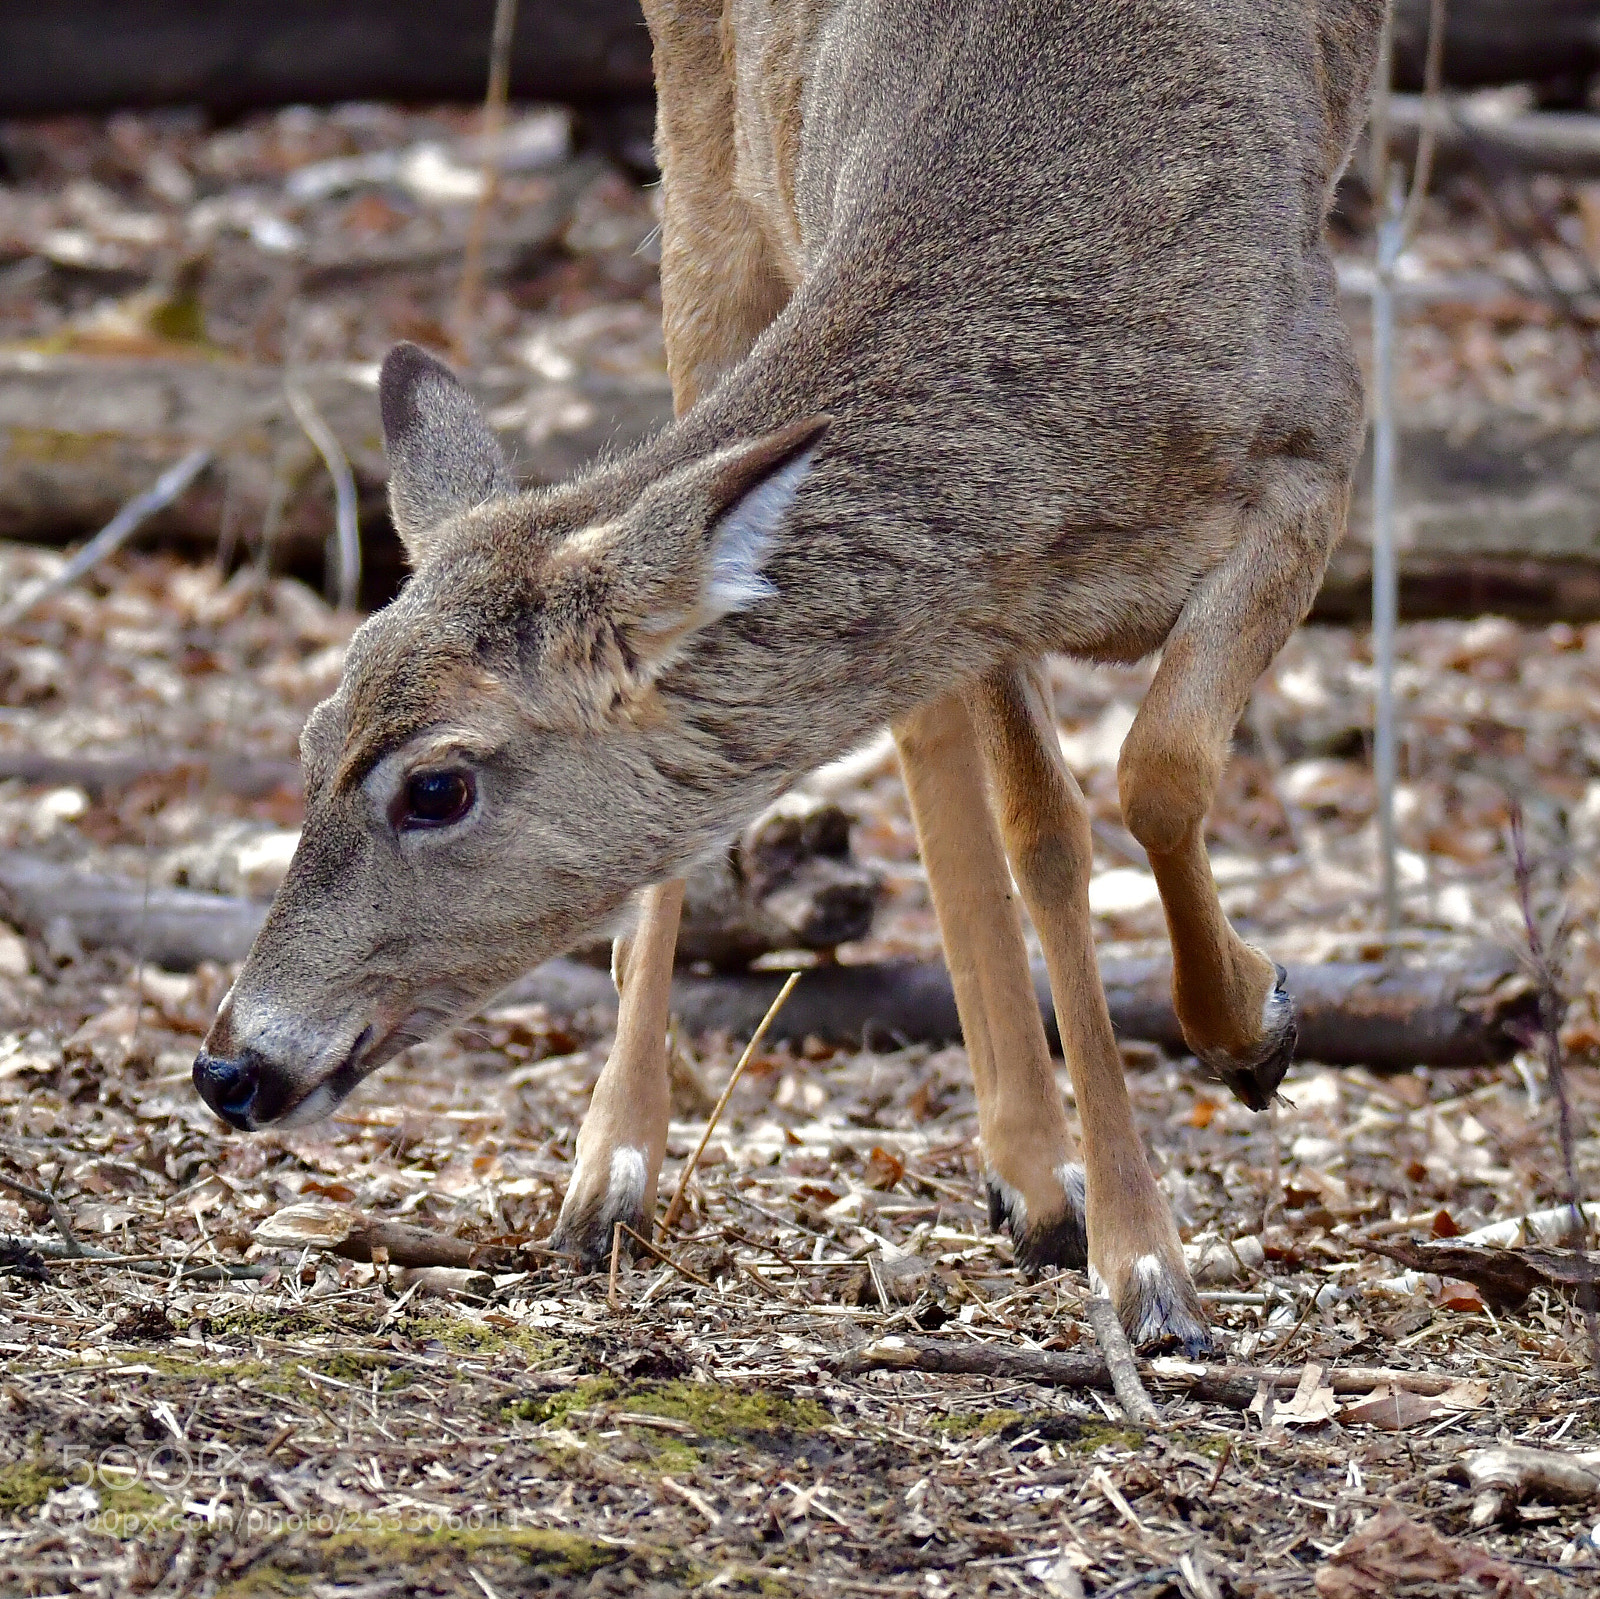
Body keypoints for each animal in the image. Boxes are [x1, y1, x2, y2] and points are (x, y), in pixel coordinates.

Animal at [193, 0, 1386, 1353]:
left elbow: (1158, 774)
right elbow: (1051, 832)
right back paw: (620, 1175)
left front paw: (1229, 1076)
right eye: (311, 741)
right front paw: (1149, 1240)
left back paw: (1033, 1182)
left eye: (435, 786)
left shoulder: (1316, 445)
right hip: (702, 174)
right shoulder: (990, 591)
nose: (233, 1065)